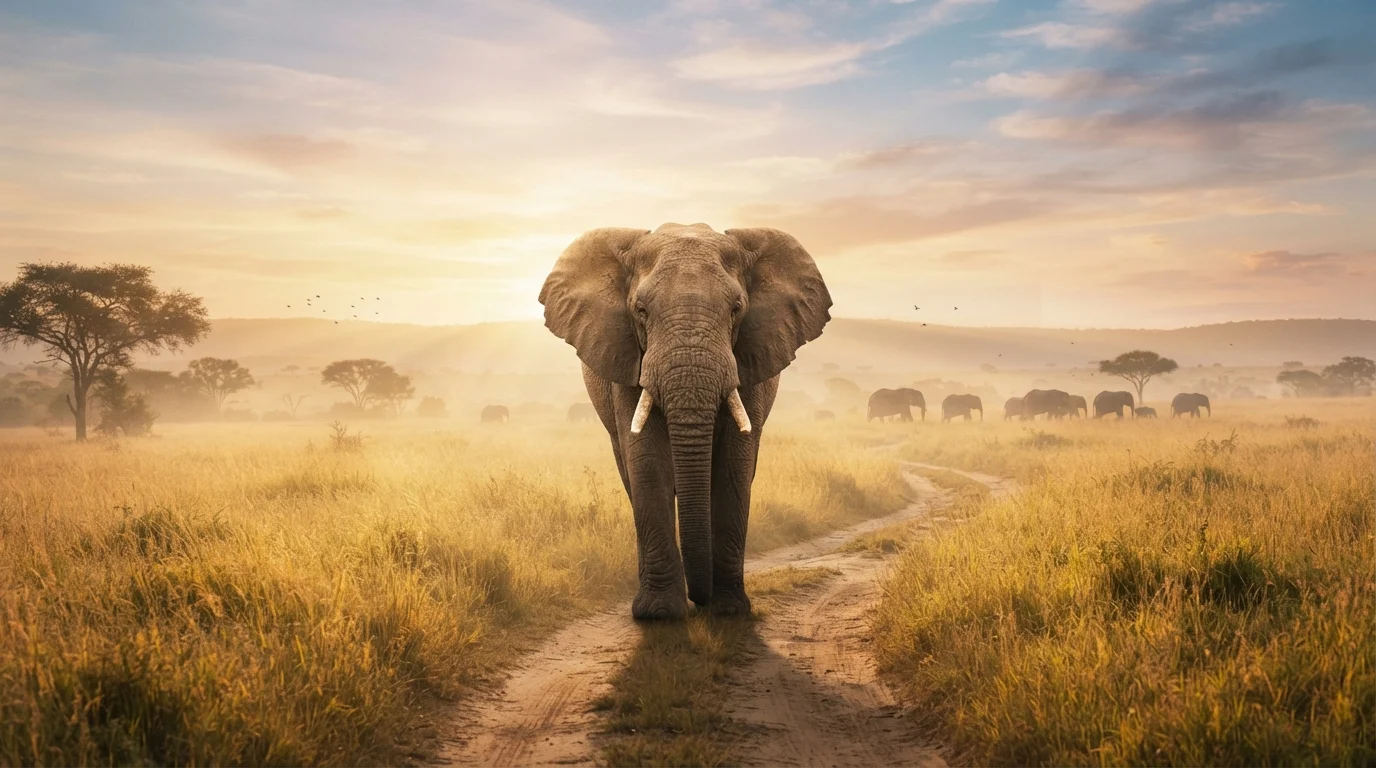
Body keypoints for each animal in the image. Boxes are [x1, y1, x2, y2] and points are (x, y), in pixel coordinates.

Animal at [539, 223, 830, 620]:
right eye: (640, 310)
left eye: (736, 309)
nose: (699, 601)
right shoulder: (627, 357)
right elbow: (646, 461)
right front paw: (660, 615)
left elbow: (734, 464)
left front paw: (729, 611)